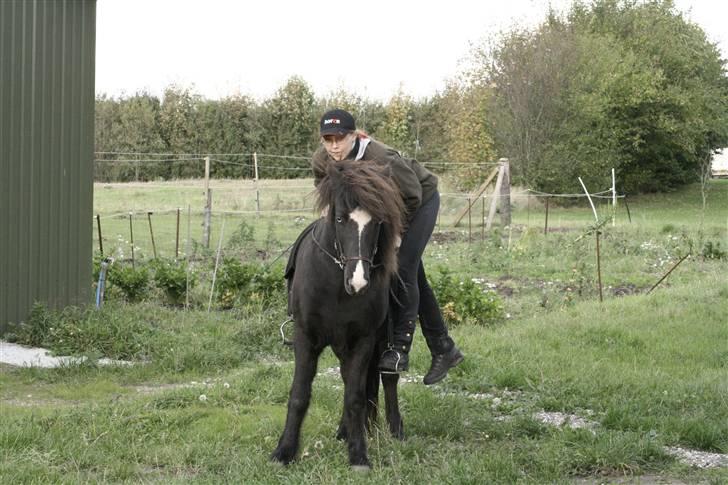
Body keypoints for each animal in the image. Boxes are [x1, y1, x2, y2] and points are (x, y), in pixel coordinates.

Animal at [272, 159, 406, 468]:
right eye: (341, 219)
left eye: (377, 222)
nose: (358, 282)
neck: (335, 287)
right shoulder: (306, 337)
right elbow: (300, 393)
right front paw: (284, 451)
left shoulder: (363, 339)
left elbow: (355, 395)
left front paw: (358, 455)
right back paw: (349, 429)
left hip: (379, 341)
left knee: (387, 377)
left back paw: (393, 427)